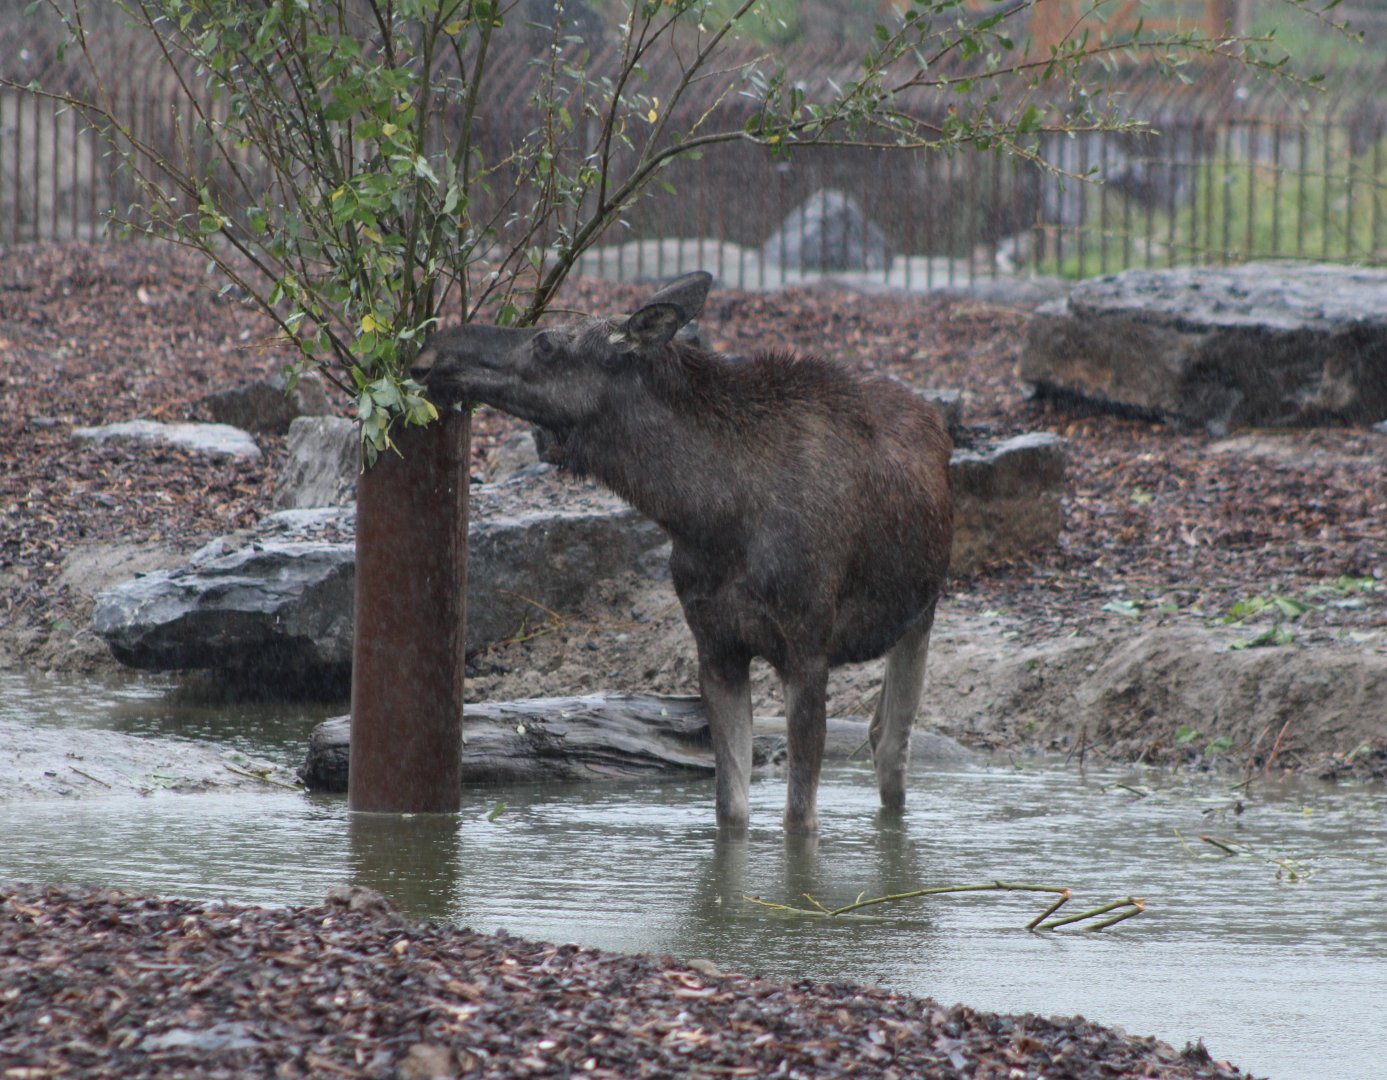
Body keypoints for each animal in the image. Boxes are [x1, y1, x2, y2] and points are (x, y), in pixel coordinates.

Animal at [413, 272, 953, 833]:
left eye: (545, 344)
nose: (429, 355)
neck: (705, 514)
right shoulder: (714, 646)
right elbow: (730, 808)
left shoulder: (807, 649)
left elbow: (798, 818)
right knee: (879, 731)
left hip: (922, 612)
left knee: (892, 744)